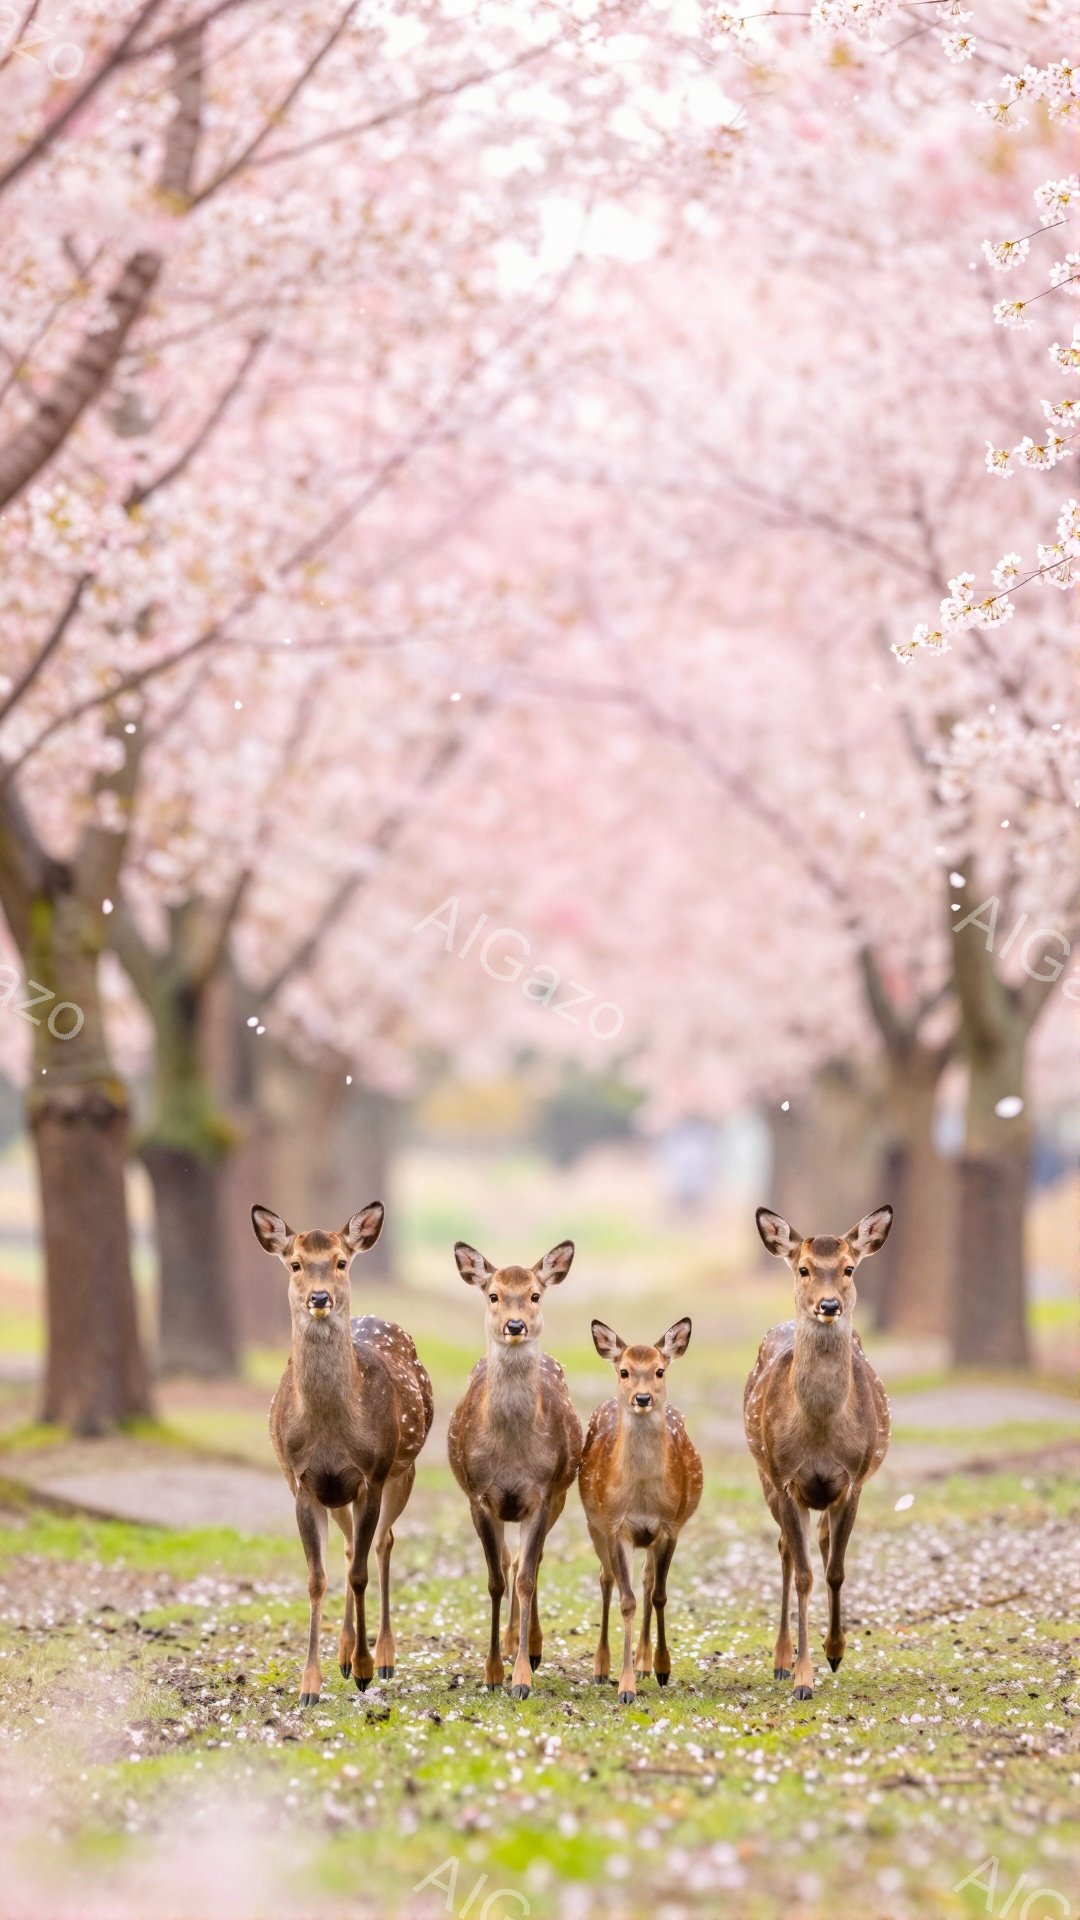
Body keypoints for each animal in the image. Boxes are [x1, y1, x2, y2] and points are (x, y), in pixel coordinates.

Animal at [251, 1200, 433, 1705]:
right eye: (295, 1263)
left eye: (341, 1262)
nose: (319, 1298)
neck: (332, 1431)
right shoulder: (304, 1482)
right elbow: (318, 1578)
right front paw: (309, 1684)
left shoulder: (371, 1474)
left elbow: (358, 1574)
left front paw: (367, 1669)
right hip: (339, 1494)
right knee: (354, 1545)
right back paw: (343, 1653)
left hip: (402, 1470)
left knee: (383, 1544)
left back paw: (383, 1656)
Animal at [447, 1238, 582, 1700]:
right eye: (493, 1295)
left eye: (535, 1295)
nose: (515, 1325)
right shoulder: (478, 1497)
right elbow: (495, 1580)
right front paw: (491, 1672)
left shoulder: (541, 1494)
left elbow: (525, 1578)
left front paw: (522, 1677)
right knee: (510, 1560)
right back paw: (507, 1644)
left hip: (560, 1494)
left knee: (531, 1562)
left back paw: (531, 1647)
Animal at [578, 1317, 702, 1704]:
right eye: (624, 1371)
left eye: (660, 1370)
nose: (642, 1398)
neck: (643, 1496)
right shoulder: (616, 1525)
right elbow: (627, 1601)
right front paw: (625, 1686)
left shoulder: (671, 1525)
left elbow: (659, 1594)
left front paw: (662, 1667)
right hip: (594, 1523)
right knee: (606, 1579)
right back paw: (601, 1666)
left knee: (647, 1581)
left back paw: (645, 1661)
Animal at [745, 1204, 893, 1701]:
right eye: (804, 1268)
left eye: (848, 1268)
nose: (828, 1305)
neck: (821, 1435)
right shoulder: (786, 1478)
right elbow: (806, 1573)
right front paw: (803, 1676)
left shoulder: (852, 1480)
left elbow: (835, 1571)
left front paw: (835, 1651)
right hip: (765, 1475)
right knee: (786, 1551)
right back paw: (780, 1659)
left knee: (824, 1545)